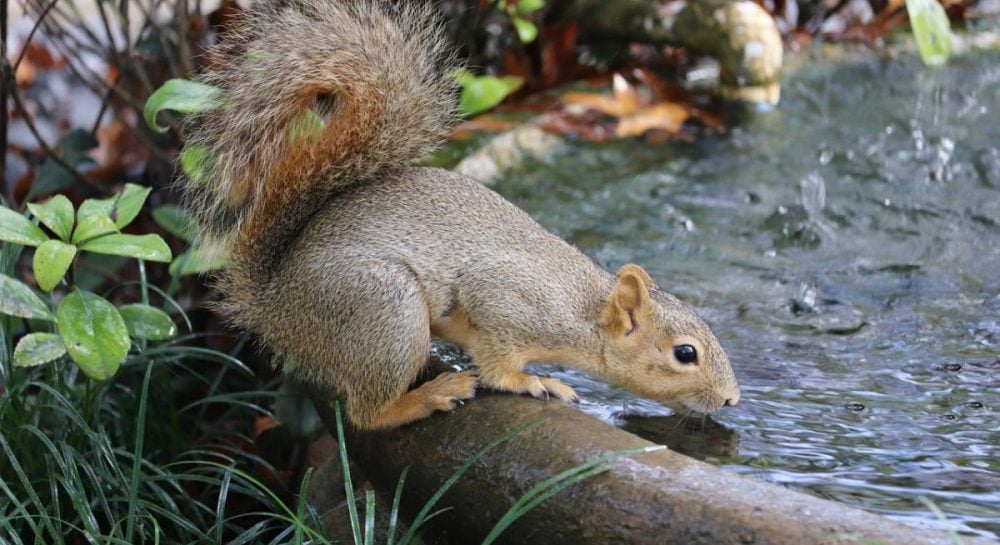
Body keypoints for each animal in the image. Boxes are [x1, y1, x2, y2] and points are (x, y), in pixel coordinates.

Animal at [182, 0, 744, 430]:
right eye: (685, 353)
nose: (733, 399)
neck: (583, 311)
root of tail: (274, 305)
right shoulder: (506, 302)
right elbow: (498, 363)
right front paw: (536, 382)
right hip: (383, 311)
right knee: (365, 415)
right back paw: (428, 395)